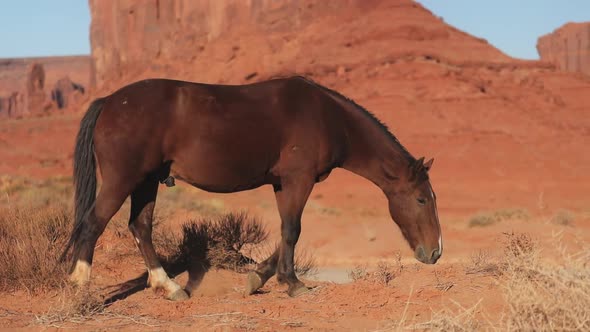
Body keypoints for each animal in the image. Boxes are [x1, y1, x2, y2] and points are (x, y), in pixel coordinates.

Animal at [62, 76, 442, 300]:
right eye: (422, 199)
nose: (435, 252)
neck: (327, 116)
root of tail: (110, 101)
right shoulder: (298, 179)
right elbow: (293, 230)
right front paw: (293, 284)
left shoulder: (283, 183)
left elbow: (286, 231)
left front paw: (258, 278)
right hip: (124, 179)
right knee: (94, 223)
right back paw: (79, 287)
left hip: (145, 182)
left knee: (139, 227)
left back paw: (169, 287)